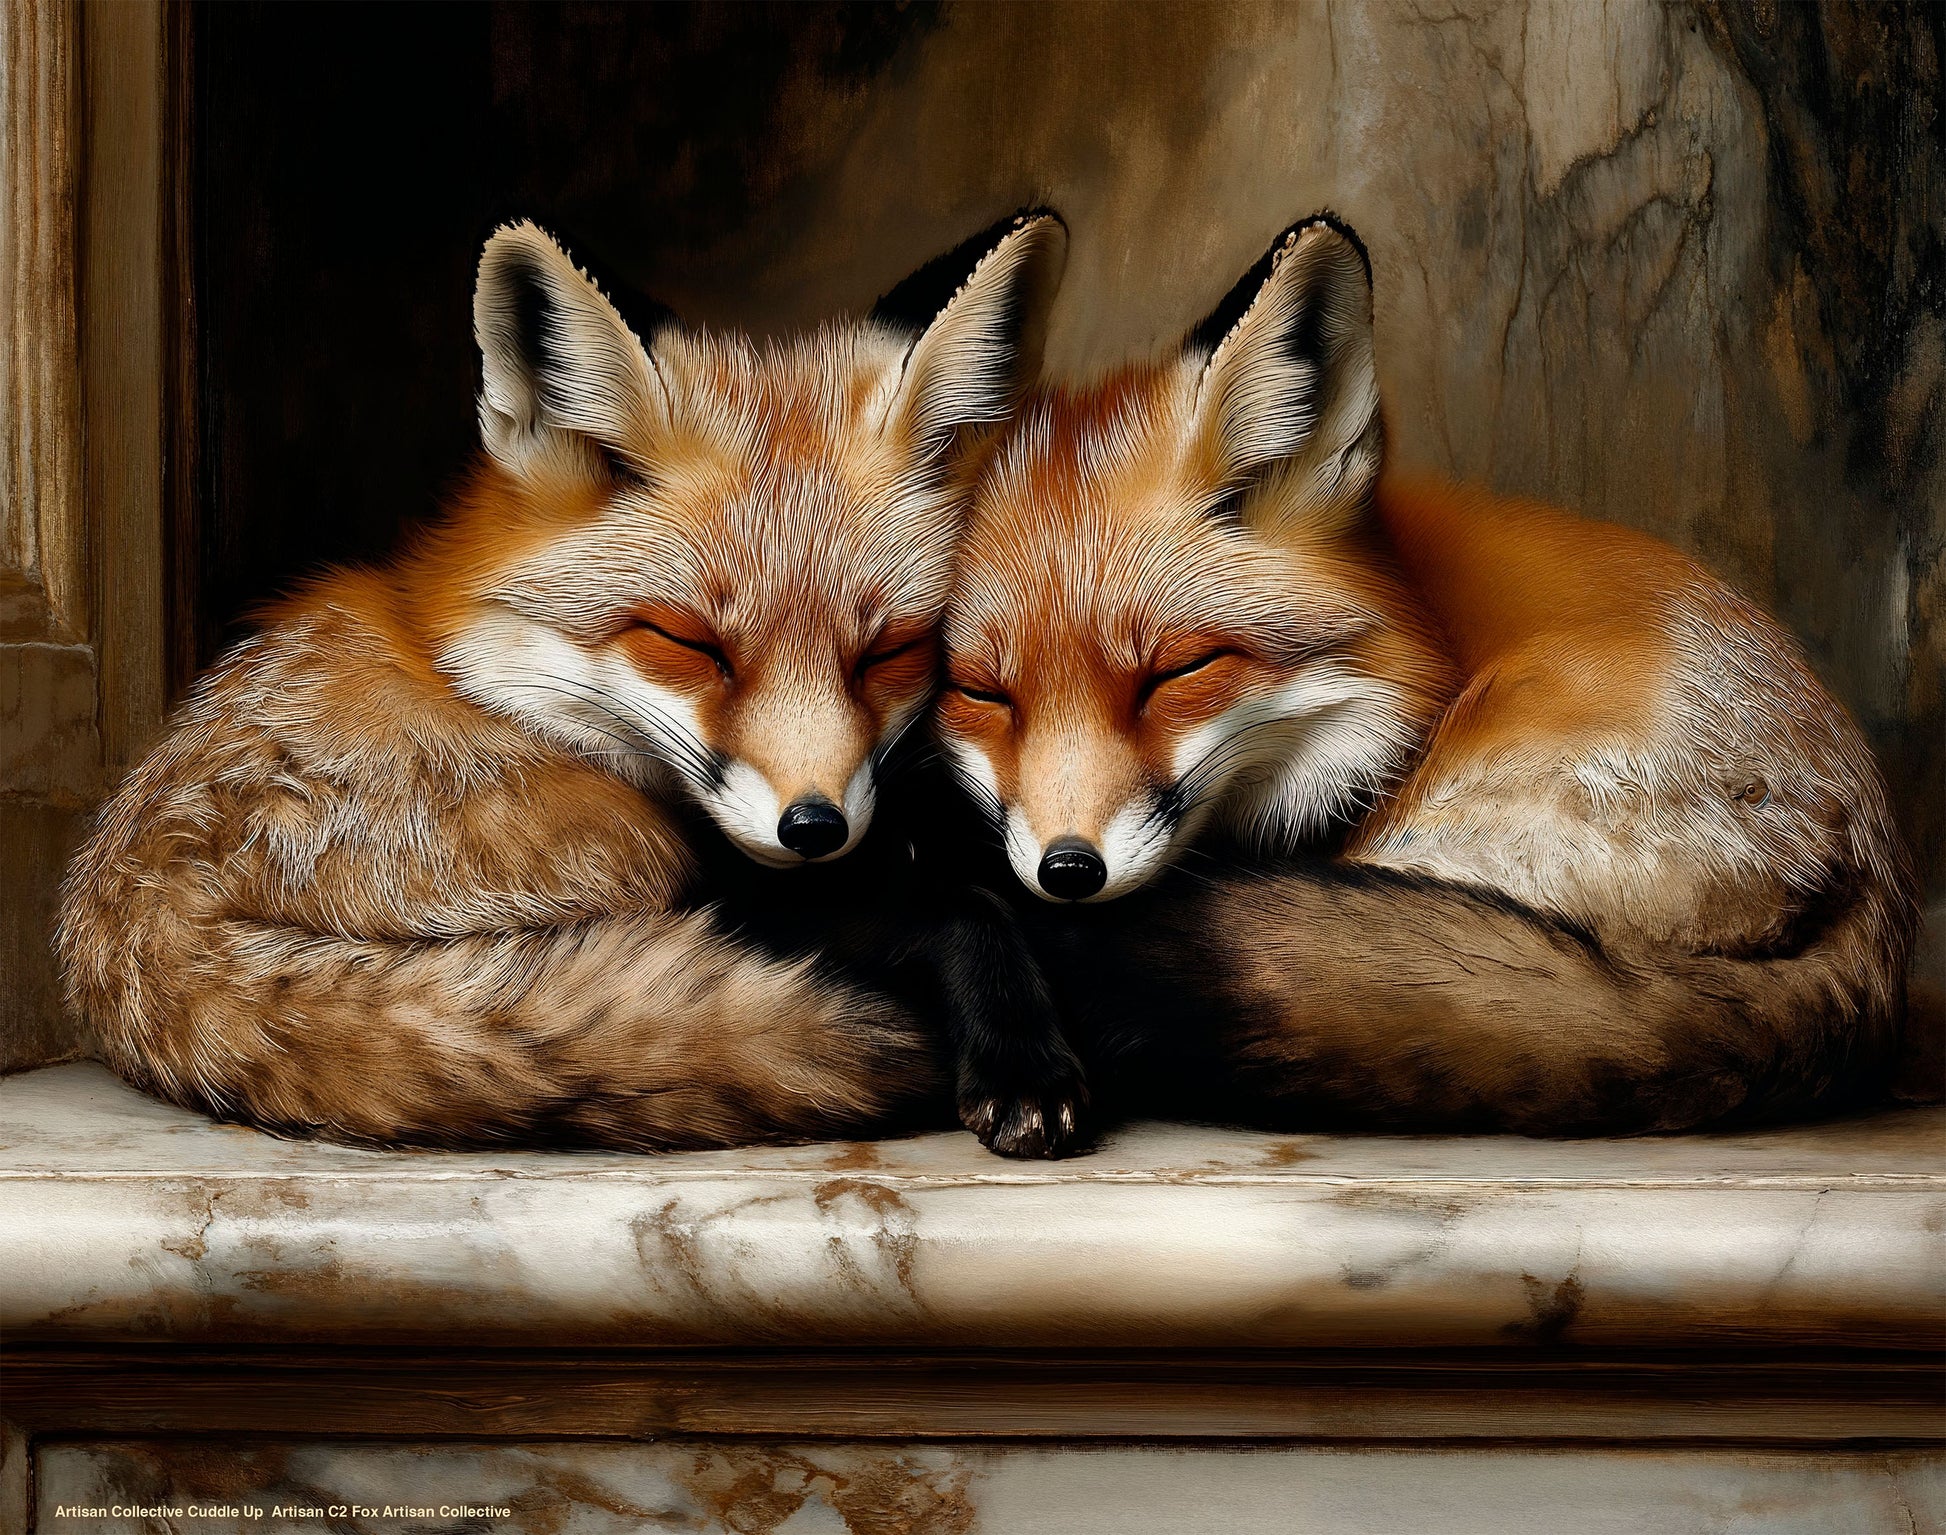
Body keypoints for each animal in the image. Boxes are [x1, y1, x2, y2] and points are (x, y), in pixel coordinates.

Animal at [57, 211, 1067, 1150]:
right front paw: (1020, 1056)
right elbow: (959, 904)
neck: (474, 663)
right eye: (690, 642)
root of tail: (138, 919)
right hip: (631, 848)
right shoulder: (739, 881)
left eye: (888, 650)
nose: (814, 827)